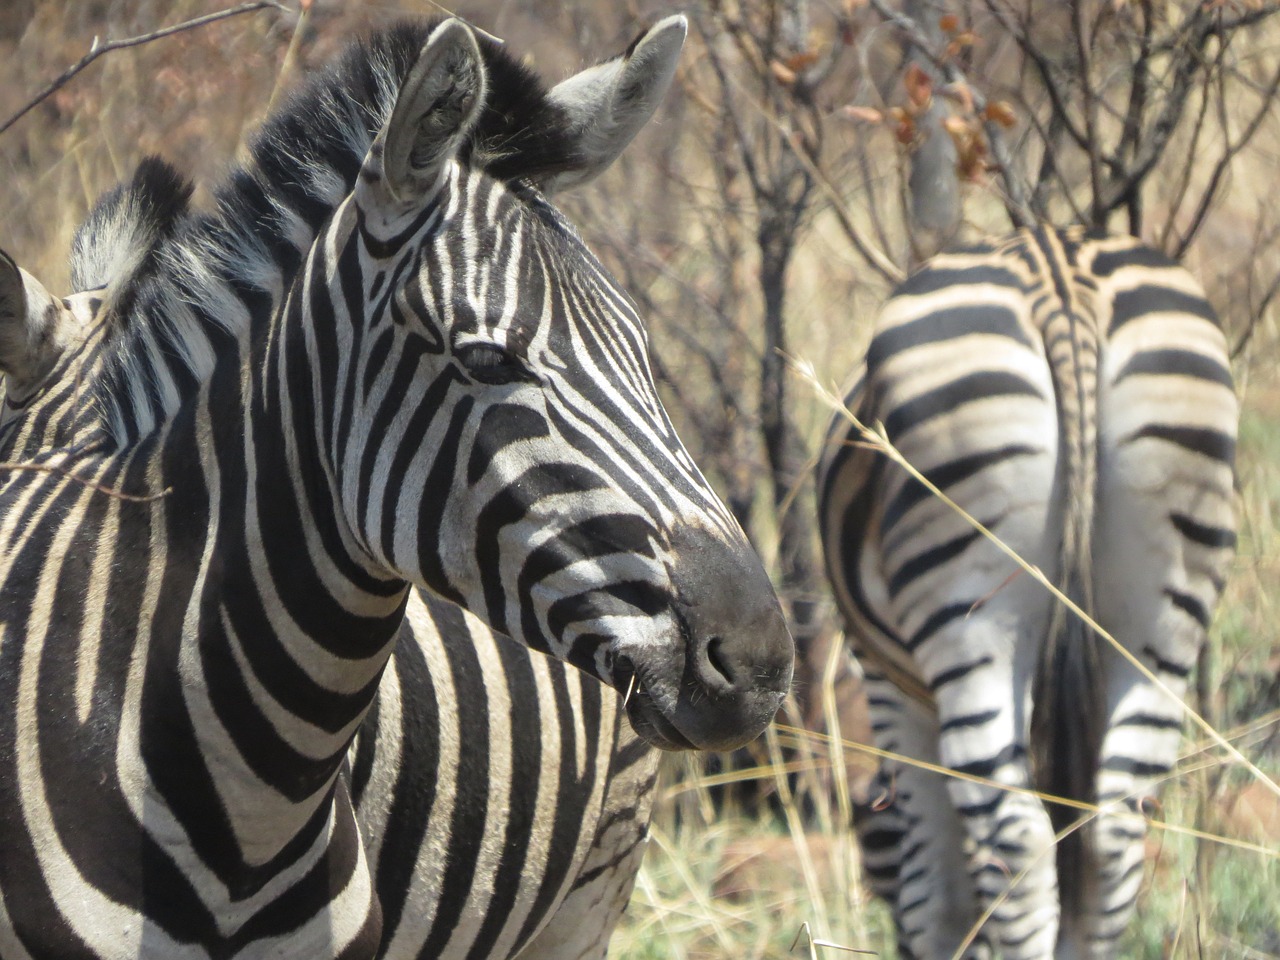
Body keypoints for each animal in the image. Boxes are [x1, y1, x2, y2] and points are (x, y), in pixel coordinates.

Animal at [819, 227, 1239, 960]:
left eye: (872, 861)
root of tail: (1060, 276)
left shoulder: (889, 686)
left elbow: (938, 896)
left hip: (971, 610)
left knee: (1015, 845)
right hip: (1167, 600)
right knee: (1111, 836)